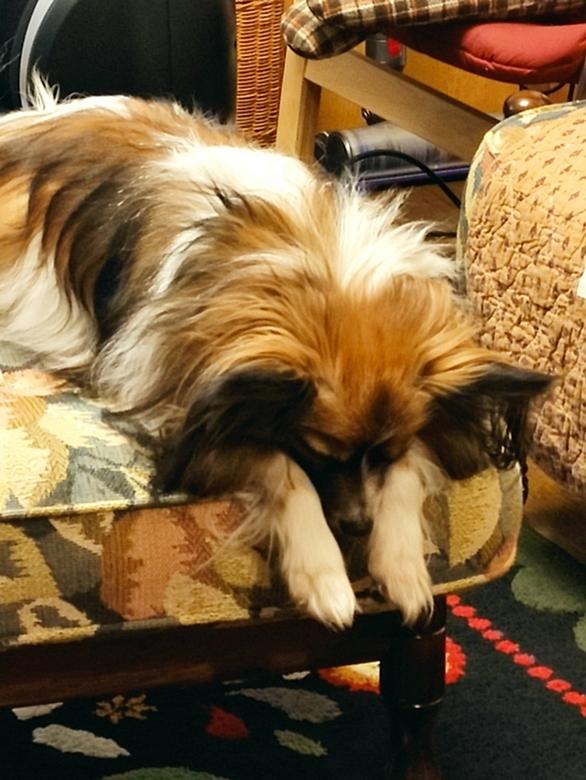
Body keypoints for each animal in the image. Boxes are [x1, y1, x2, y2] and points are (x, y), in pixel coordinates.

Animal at [0, 81, 551, 628]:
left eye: (383, 455)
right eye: (317, 452)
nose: (357, 525)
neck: (318, 270)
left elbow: (408, 471)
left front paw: (404, 565)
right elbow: (283, 471)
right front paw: (324, 574)